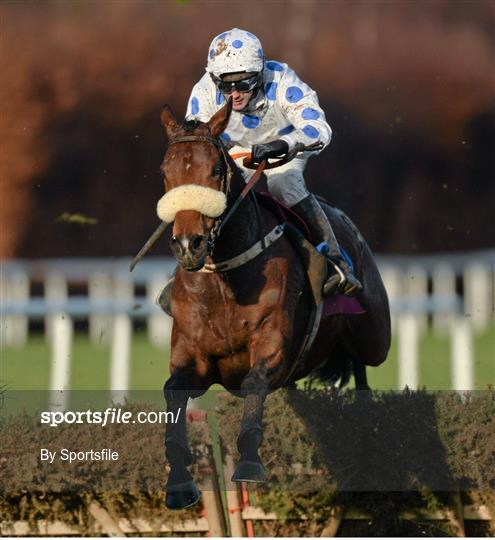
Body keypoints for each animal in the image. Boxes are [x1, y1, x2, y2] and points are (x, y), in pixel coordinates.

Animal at [159, 99, 392, 508]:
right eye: (166, 172)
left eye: (214, 169)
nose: (188, 245)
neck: (226, 278)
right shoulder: (193, 357)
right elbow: (174, 391)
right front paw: (180, 482)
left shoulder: (273, 346)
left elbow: (254, 382)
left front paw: (250, 465)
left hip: (375, 335)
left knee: (364, 362)